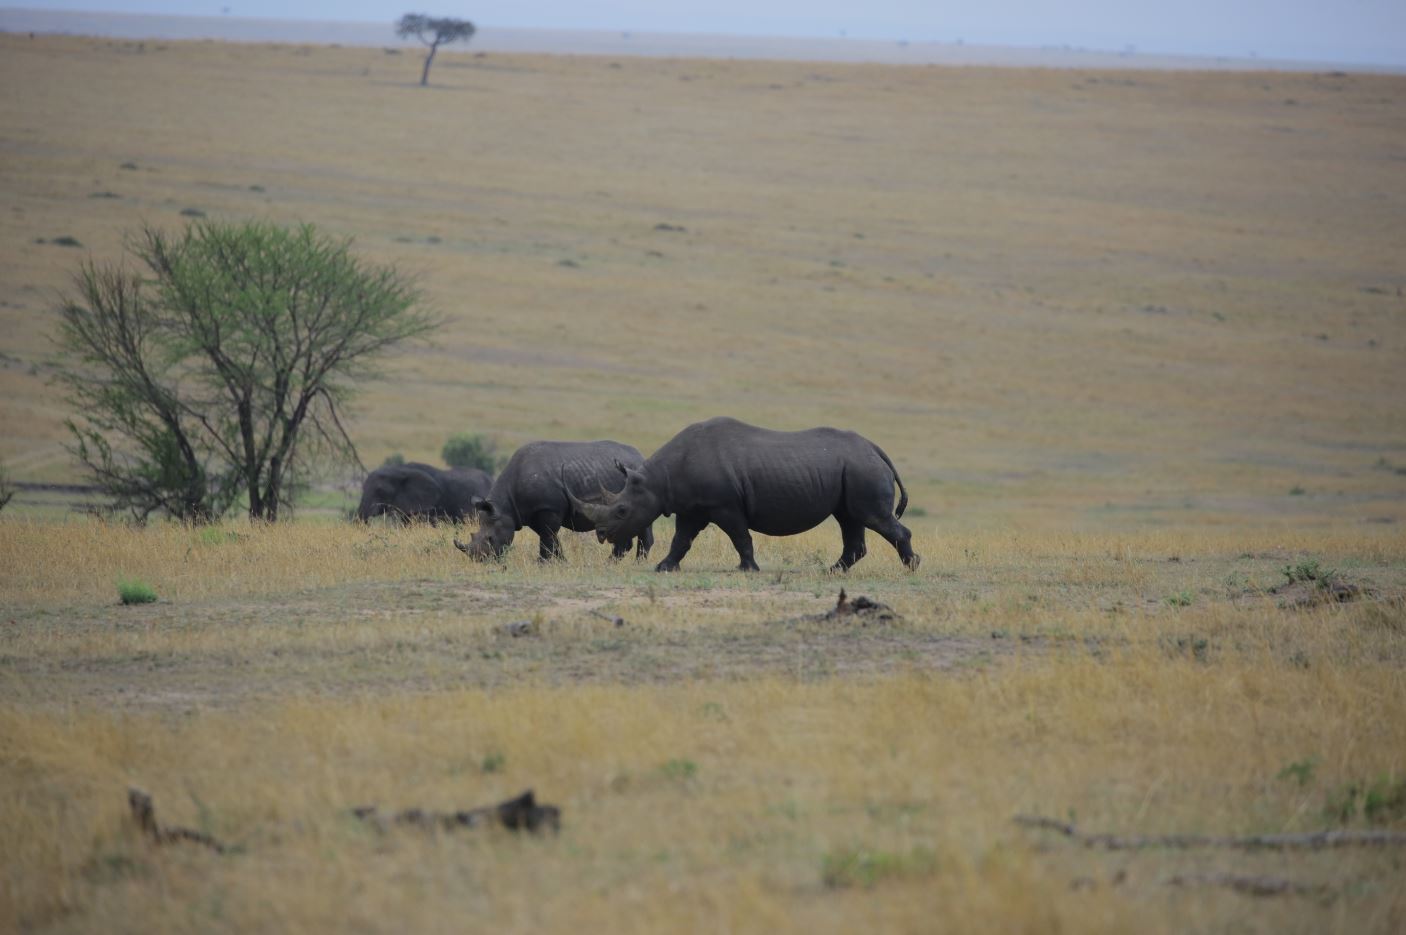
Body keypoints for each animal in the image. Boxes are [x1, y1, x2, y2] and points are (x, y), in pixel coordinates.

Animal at [454, 440, 654, 562]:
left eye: (490, 538)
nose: (481, 560)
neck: (505, 506)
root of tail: (641, 457)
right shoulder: (533, 513)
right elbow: (551, 540)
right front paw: (562, 563)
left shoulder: (548, 509)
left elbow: (547, 540)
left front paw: (542, 565)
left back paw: (626, 565)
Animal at [569, 417, 919, 573]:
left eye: (622, 511)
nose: (602, 535)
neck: (658, 480)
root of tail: (875, 449)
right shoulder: (691, 508)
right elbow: (681, 540)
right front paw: (664, 568)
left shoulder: (724, 504)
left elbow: (740, 536)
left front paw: (747, 569)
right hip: (853, 467)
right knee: (850, 519)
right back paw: (833, 571)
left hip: (861, 468)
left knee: (870, 517)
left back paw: (911, 567)